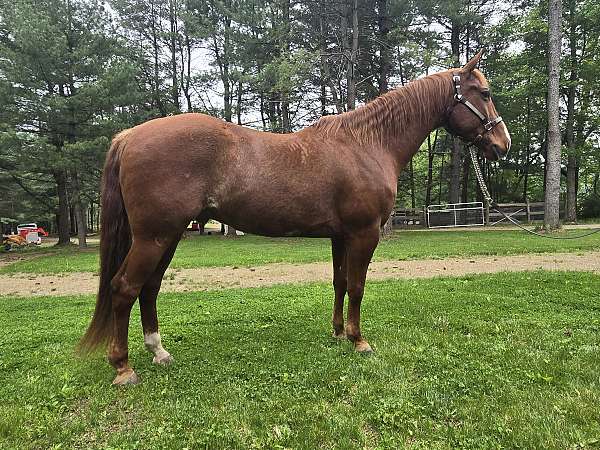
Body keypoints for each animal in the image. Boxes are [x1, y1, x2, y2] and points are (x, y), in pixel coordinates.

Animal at [79, 51, 510, 384]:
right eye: (485, 93)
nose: (502, 144)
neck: (367, 144)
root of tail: (129, 136)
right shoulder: (363, 234)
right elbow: (357, 287)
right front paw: (359, 340)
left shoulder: (341, 236)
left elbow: (340, 283)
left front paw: (338, 334)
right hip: (154, 237)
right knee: (124, 289)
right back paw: (123, 367)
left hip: (166, 236)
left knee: (148, 289)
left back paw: (159, 352)